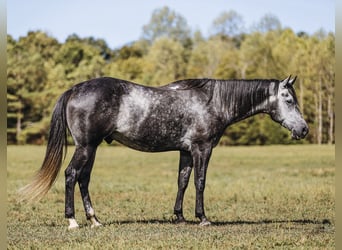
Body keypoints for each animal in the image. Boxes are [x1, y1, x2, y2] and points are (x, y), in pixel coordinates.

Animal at [18, 75, 308, 229]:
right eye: (289, 99)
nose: (303, 129)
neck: (212, 102)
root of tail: (75, 89)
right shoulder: (202, 148)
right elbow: (200, 182)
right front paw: (202, 218)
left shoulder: (186, 151)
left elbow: (182, 181)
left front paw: (179, 216)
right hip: (85, 147)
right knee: (70, 175)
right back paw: (73, 221)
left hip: (92, 148)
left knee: (83, 179)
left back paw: (95, 220)